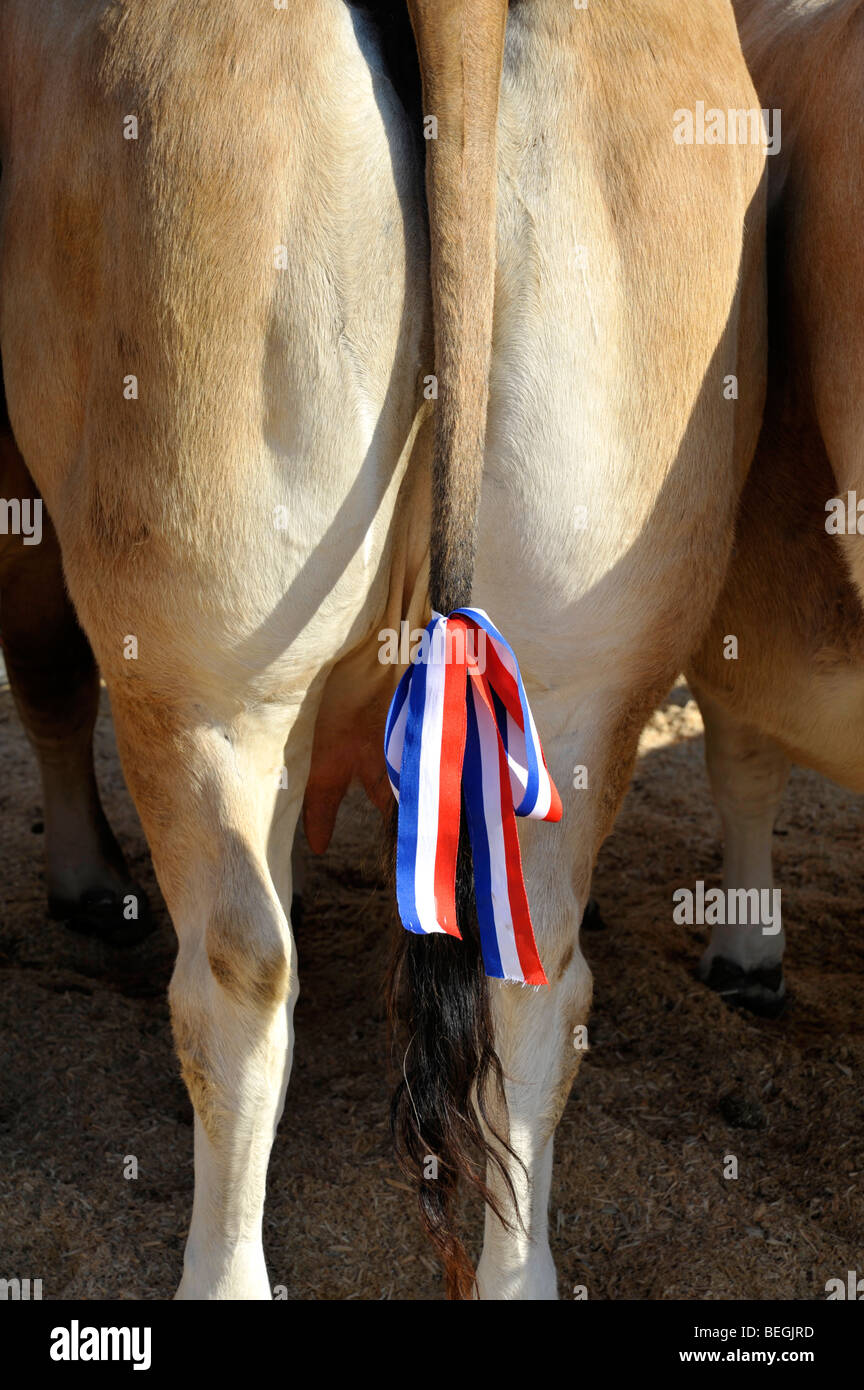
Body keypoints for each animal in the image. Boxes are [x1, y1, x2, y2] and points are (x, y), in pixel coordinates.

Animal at [0, 2, 766, 1301]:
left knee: (241, 977)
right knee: (536, 982)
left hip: (208, 671)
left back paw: (223, 1273)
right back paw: (519, 1274)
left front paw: (88, 879)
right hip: (584, 674)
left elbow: (45, 662)